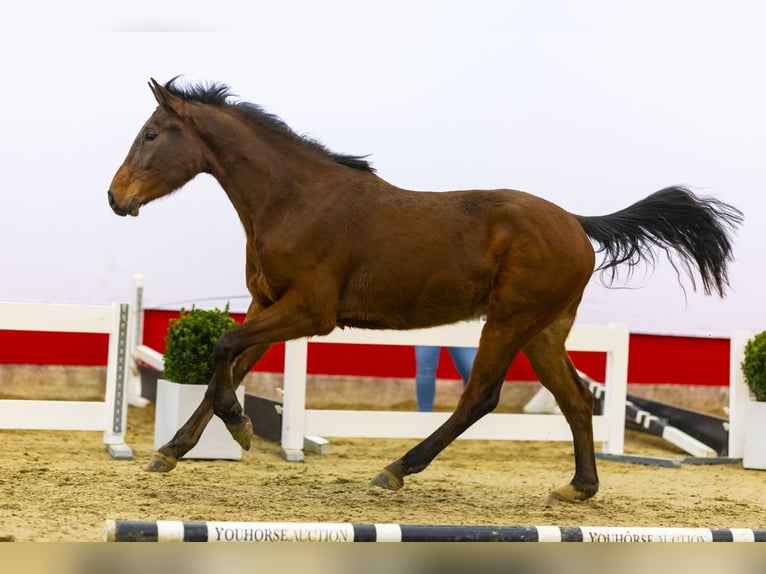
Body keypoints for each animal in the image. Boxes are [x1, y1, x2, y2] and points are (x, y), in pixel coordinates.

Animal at [108, 77, 744, 504]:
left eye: (151, 133)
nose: (116, 197)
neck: (294, 200)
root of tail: (578, 224)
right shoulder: (269, 304)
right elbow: (232, 366)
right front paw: (172, 451)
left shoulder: (309, 312)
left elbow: (221, 351)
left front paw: (238, 429)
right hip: (543, 331)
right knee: (577, 400)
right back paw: (578, 488)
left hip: (509, 321)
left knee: (480, 397)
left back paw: (396, 468)